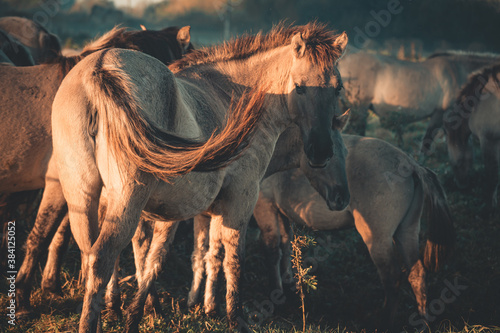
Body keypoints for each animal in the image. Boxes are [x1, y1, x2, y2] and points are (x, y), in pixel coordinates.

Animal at [7, 24, 194, 316]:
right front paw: (25, 297)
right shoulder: (56, 184)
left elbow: (64, 236)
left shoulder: (79, 189)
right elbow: (41, 236)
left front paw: (52, 286)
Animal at [50, 22, 348, 330]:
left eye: (337, 88)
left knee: (89, 254)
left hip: (84, 196)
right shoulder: (240, 199)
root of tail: (100, 68)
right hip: (126, 200)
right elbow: (231, 258)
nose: (321, 151)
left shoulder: (194, 211)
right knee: (102, 257)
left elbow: (174, 256)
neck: (233, 95)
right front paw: (233, 318)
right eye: (300, 87)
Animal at [252, 133, 456, 326]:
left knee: (393, 279)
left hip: (378, 239)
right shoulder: (281, 211)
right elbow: (286, 247)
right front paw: (287, 288)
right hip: (407, 231)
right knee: (417, 274)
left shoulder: (264, 206)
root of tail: (410, 163)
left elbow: (272, 251)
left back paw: (384, 323)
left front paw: (275, 297)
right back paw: (422, 323)